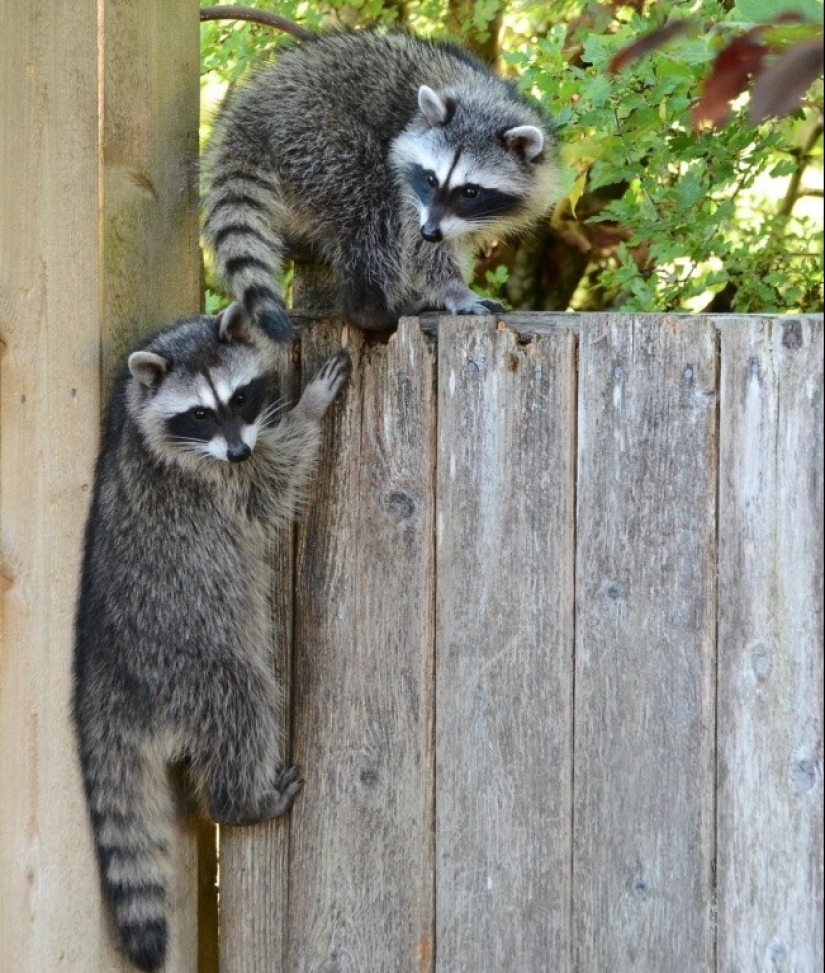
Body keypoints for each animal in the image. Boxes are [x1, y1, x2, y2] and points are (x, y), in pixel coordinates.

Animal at [73, 304, 350, 972]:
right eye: (199, 413)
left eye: (240, 396)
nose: (239, 447)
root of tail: (105, 672)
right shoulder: (209, 481)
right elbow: (268, 489)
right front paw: (310, 410)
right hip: (192, 662)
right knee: (241, 699)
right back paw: (241, 800)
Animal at [202, 29, 559, 337]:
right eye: (431, 179)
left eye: (471, 192)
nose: (431, 231)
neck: (482, 102)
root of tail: (250, 114)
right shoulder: (409, 191)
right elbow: (415, 243)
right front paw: (452, 288)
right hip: (319, 136)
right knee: (372, 209)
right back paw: (372, 309)